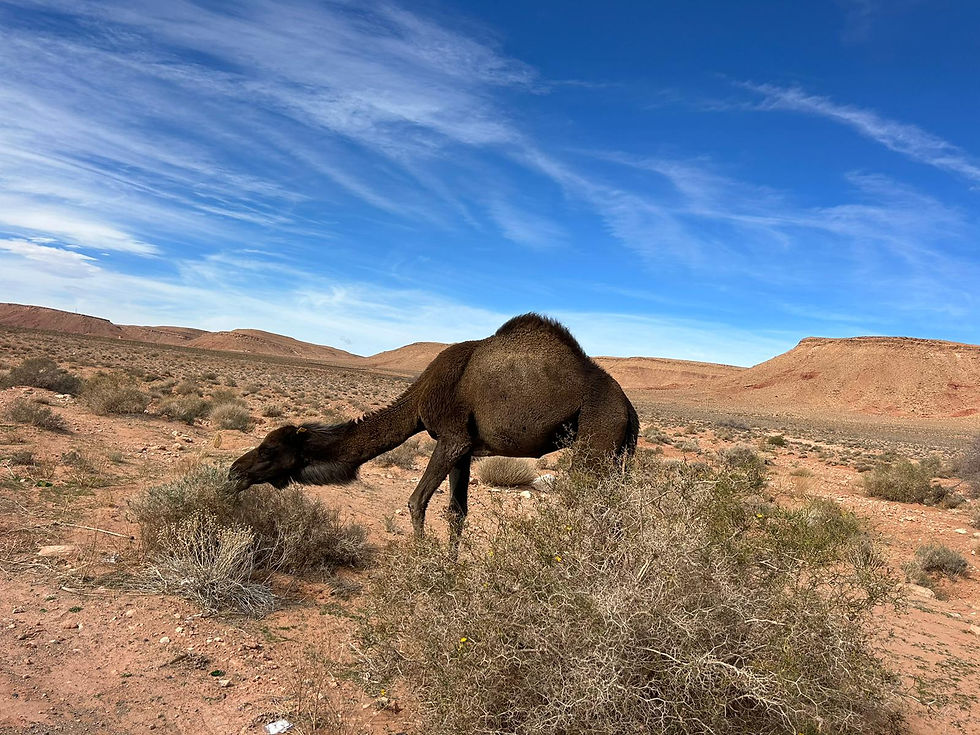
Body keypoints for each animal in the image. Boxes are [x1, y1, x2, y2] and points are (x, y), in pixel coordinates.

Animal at [227, 313, 639, 544]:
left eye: (268, 450)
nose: (234, 471)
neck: (421, 396)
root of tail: (628, 408)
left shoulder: (452, 439)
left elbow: (416, 501)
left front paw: (423, 564)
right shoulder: (465, 448)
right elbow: (457, 512)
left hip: (596, 441)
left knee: (596, 510)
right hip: (621, 454)